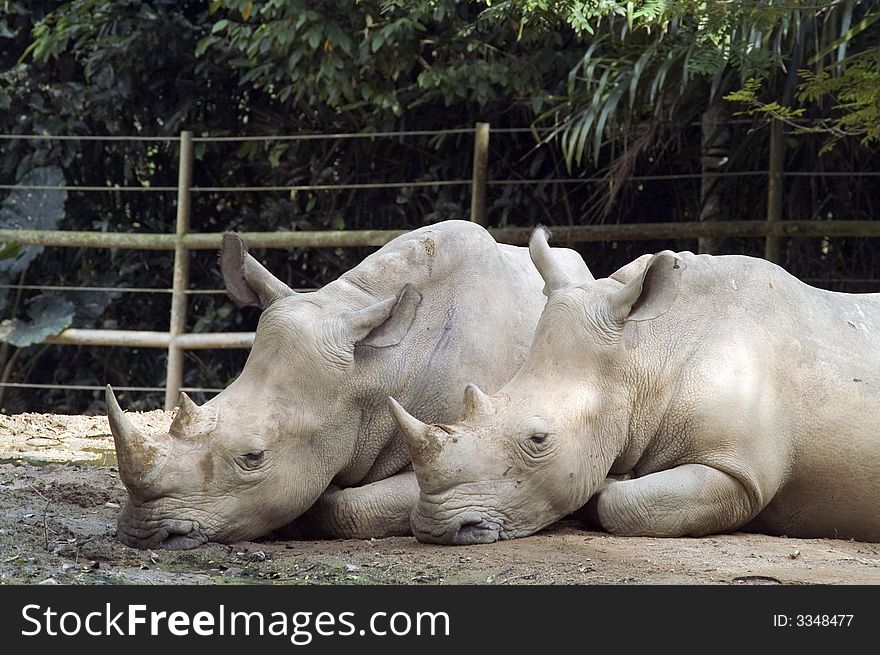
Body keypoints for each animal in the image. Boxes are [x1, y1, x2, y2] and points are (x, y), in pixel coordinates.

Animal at [390, 228, 880, 544]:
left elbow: (617, 502)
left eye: (538, 439)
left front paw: (608, 485)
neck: (645, 351)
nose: (435, 529)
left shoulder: (740, 472)